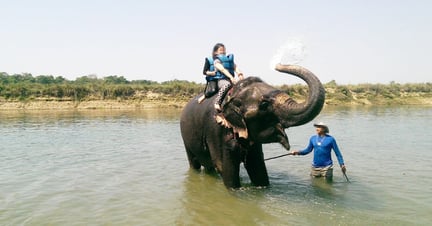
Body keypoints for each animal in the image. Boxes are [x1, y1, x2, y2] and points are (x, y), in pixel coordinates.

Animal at [179, 63, 324, 189]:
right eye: (264, 105)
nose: (277, 65)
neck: (232, 94)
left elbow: (257, 168)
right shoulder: (215, 130)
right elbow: (224, 169)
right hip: (185, 138)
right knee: (194, 163)